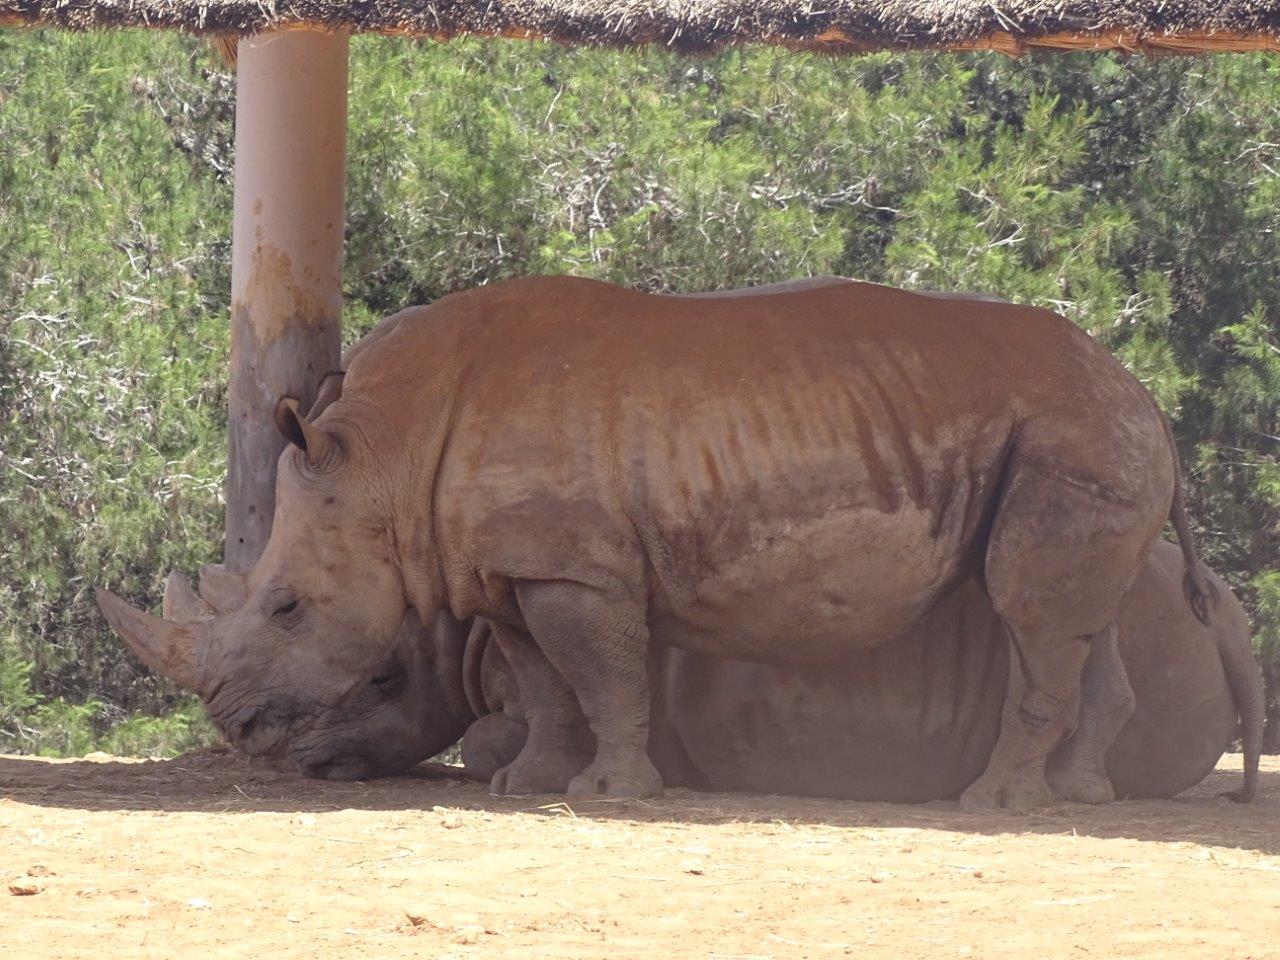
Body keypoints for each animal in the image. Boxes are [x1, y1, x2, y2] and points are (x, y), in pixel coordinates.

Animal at [97, 275, 1212, 809]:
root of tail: (1148, 398)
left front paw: (611, 795)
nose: (238, 727)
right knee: (1075, 619)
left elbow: (600, 672)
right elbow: (543, 679)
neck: (381, 454)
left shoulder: (572, 564)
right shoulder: (505, 565)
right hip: (1079, 437)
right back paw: (1078, 795)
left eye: (287, 607)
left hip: (1068, 432)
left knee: (1031, 609)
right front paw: (527, 788)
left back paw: (996, 805)